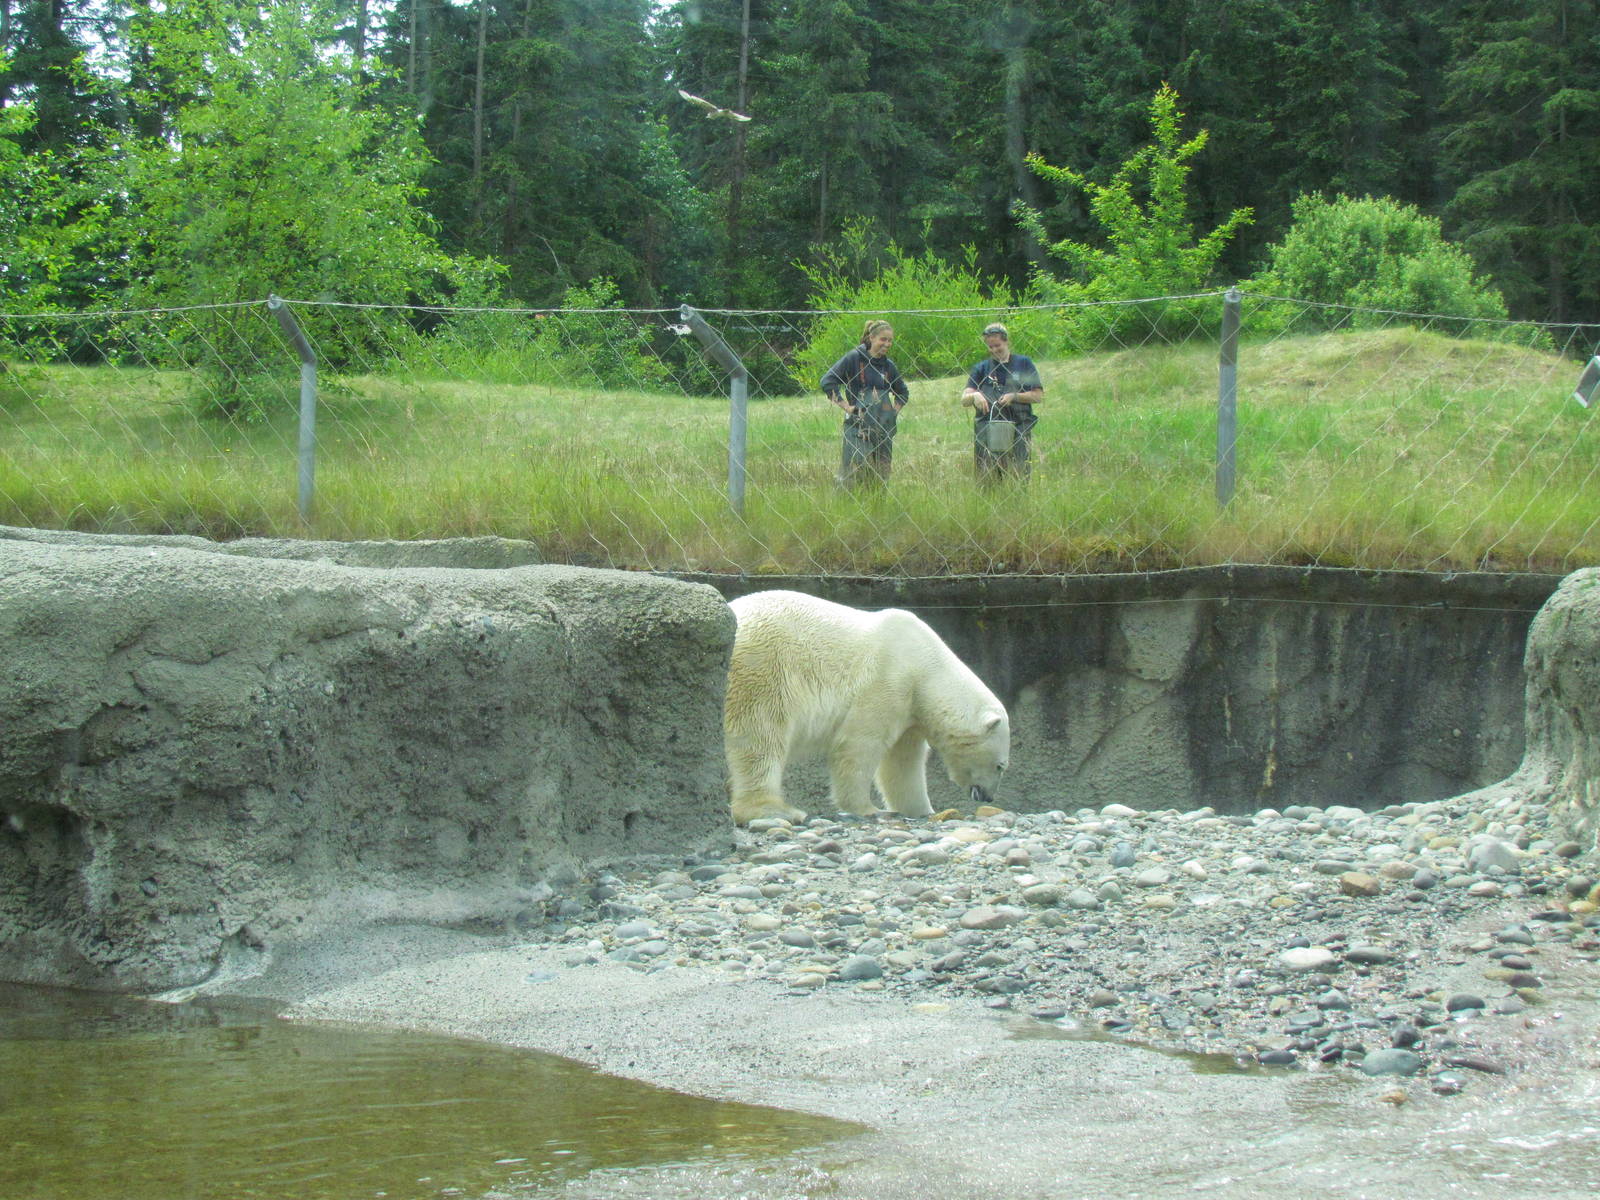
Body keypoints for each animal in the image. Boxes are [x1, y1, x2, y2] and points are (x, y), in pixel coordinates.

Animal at [723, 589, 1010, 826]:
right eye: (1000, 766)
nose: (989, 797)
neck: (927, 666)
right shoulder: (888, 681)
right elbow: (858, 745)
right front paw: (870, 809)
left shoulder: (911, 710)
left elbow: (902, 764)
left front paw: (924, 810)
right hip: (762, 668)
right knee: (761, 737)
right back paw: (776, 810)